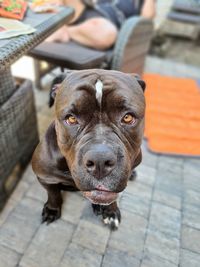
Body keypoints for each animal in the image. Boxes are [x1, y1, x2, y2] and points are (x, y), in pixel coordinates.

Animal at [32, 69, 145, 230]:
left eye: (128, 117)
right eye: (71, 118)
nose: (100, 161)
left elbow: (113, 197)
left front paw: (111, 212)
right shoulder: (45, 177)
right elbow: (53, 194)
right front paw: (52, 209)